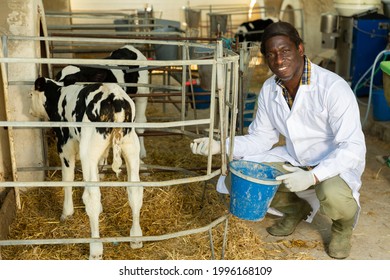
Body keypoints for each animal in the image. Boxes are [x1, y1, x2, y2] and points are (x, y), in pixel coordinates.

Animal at [29, 77, 144, 260]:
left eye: (30, 94)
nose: (30, 111)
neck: (59, 95)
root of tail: (115, 97)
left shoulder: (65, 146)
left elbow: (68, 180)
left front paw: (67, 212)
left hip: (88, 151)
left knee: (92, 197)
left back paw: (95, 248)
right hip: (131, 147)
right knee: (135, 191)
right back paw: (136, 238)